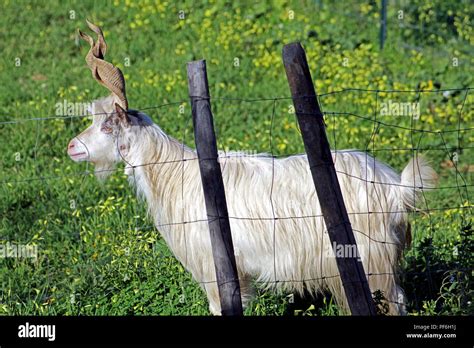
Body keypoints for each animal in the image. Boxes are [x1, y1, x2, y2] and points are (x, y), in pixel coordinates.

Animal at [67, 21, 436, 316]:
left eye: (106, 125)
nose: (72, 147)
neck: (174, 174)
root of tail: (396, 188)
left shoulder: (216, 271)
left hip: (373, 262)